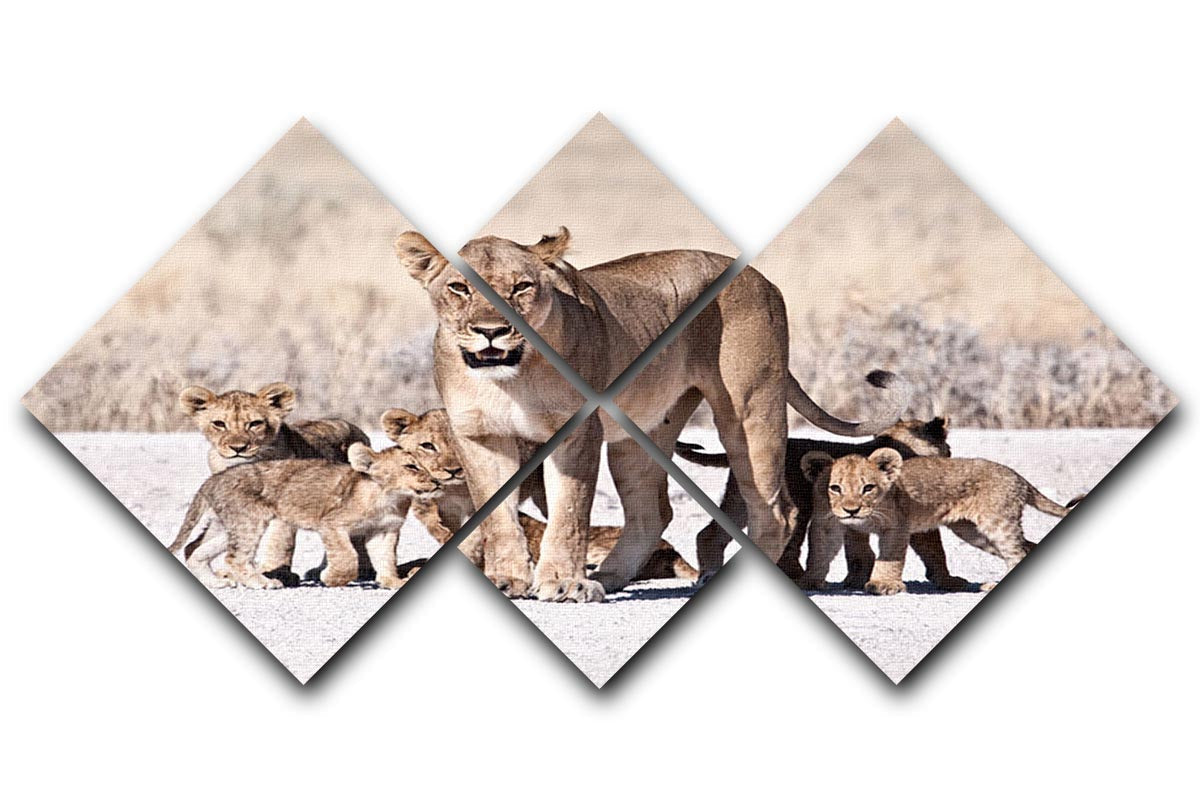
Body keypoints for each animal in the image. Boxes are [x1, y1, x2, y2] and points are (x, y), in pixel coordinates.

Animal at [170, 444, 443, 589]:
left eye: (428, 464)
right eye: (411, 466)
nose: (438, 481)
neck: (390, 497)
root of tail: (213, 480)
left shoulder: (385, 530)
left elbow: (385, 558)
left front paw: (392, 581)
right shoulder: (331, 524)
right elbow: (347, 558)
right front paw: (329, 578)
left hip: (227, 524)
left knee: (195, 549)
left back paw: (214, 582)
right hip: (249, 520)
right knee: (234, 558)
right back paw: (262, 582)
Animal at [177, 383, 369, 584]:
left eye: (255, 423)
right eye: (219, 424)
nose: (238, 448)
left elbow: (280, 541)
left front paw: (277, 573)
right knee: (194, 545)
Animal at [396, 227, 906, 602]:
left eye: (522, 287)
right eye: (458, 288)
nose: (492, 331)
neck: (510, 378)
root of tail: (761, 278)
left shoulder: (577, 432)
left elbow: (569, 512)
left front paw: (561, 582)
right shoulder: (479, 436)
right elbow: (498, 515)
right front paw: (509, 579)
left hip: (749, 410)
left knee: (775, 511)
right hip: (640, 436)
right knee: (651, 513)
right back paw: (608, 577)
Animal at [675, 415, 967, 591]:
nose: (952, 457)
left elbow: (859, 552)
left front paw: (856, 581)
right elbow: (934, 549)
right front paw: (949, 581)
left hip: (741, 502)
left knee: (709, 534)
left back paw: (707, 575)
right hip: (793, 507)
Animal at [801, 448, 1084, 594]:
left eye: (868, 487)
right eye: (835, 488)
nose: (852, 510)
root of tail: (1018, 476)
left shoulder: (897, 526)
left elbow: (890, 558)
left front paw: (883, 584)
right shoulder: (826, 523)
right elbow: (818, 553)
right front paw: (809, 581)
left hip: (997, 523)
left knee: (1016, 552)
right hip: (973, 532)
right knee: (1026, 546)